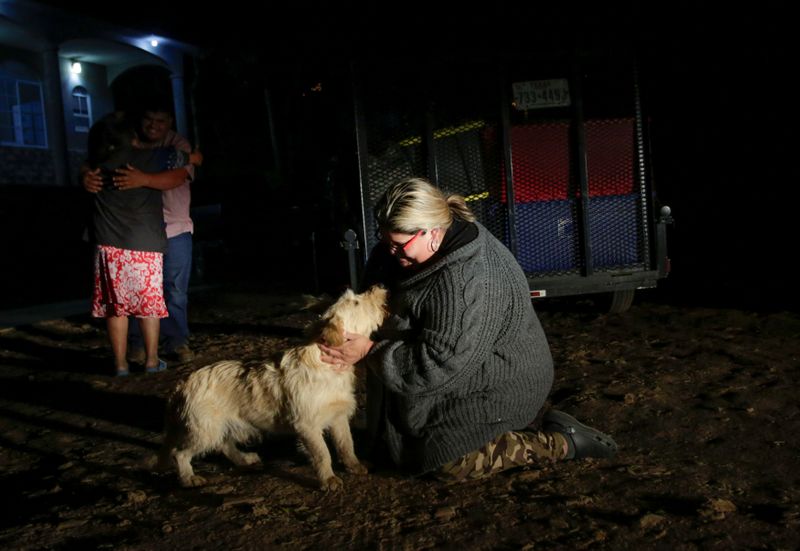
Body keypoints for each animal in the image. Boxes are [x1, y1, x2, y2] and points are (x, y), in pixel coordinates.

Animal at [155, 286, 388, 490]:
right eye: (356, 302)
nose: (379, 287)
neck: (326, 367)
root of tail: (181, 385)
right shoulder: (307, 426)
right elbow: (323, 454)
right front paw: (329, 479)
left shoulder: (338, 417)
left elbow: (346, 445)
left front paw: (356, 466)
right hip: (205, 429)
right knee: (179, 453)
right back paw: (188, 478)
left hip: (221, 425)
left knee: (223, 444)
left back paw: (244, 458)